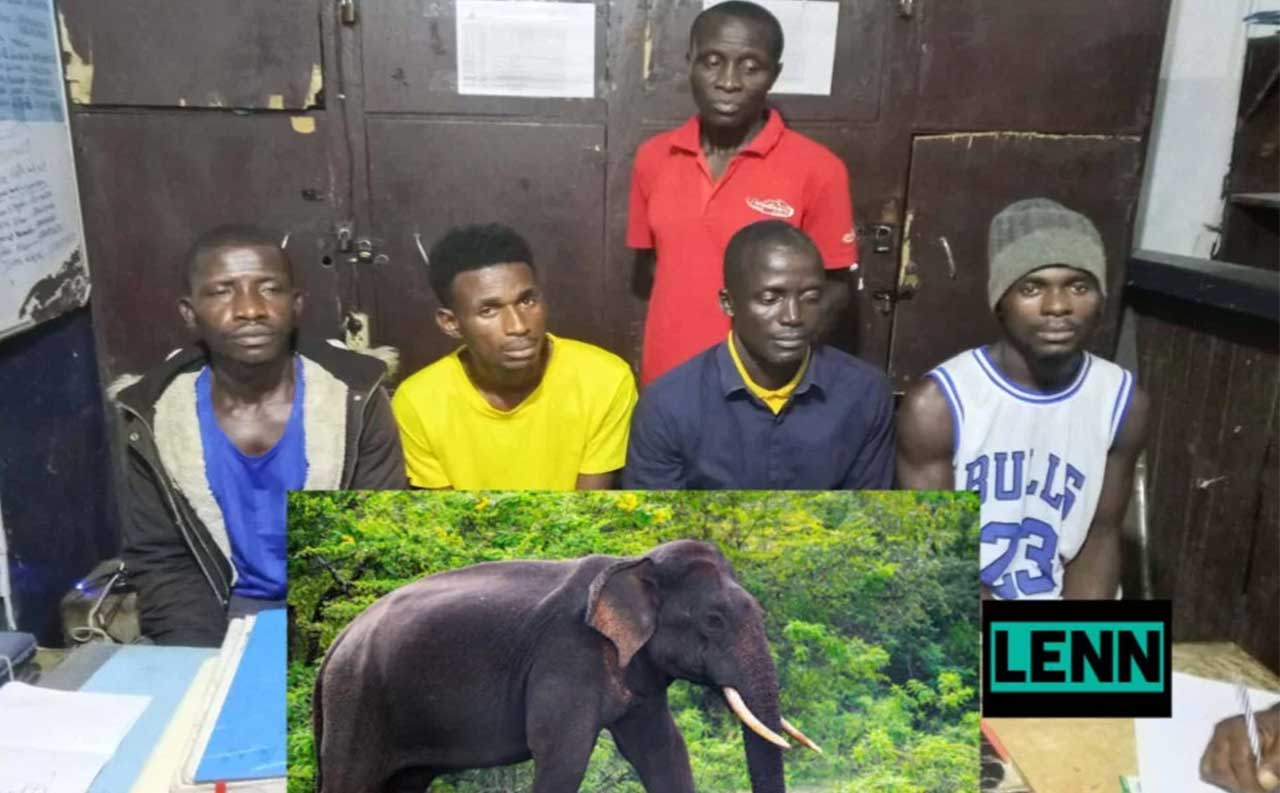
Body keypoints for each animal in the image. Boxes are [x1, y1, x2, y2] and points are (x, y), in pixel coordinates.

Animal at [312, 539, 820, 793]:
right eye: (714, 620)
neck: (633, 563)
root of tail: (335, 646)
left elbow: (664, 750)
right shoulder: (567, 655)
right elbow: (564, 753)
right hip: (357, 703)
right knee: (350, 780)